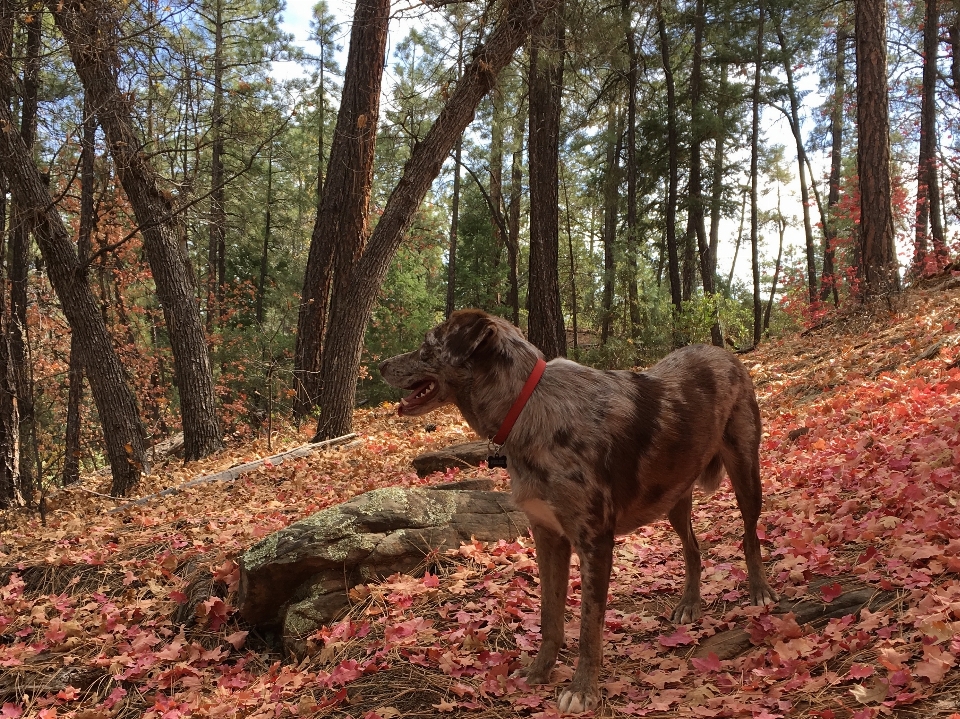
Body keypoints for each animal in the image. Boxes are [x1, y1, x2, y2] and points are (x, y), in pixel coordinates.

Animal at [378, 310, 776, 716]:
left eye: (427, 346)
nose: (380, 366)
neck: (525, 405)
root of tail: (722, 353)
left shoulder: (594, 541)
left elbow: (588, 628)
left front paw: (583, 690)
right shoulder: (548, 535)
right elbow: (550, 617)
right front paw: (539, 671)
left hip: (745, 473)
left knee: (749, 536)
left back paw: (760, 591)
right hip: (673, 497)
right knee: (693, 549)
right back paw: (690, 603)